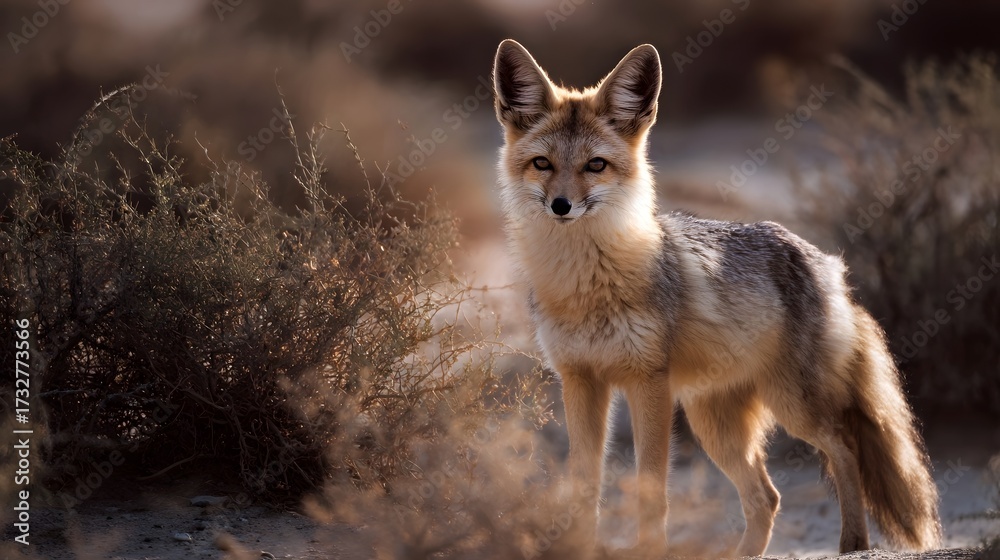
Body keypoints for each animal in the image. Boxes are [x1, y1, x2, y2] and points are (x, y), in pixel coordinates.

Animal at [491, 39, 942, 557]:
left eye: (596, 166)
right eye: (542, 164)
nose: (561, 205)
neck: (585, 287)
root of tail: (831, 266)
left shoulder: (648, 383)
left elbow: (651, 491)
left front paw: (651, 550)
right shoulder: (580, 380)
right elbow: (585, 487)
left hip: (793, 407)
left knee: (844, 448)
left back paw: (853, 542)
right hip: (716, 426)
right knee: (767, 496)